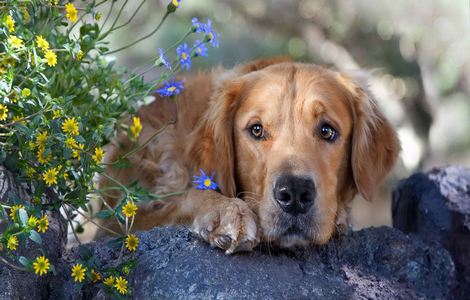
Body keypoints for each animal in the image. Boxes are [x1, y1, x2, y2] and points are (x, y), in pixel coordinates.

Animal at [96, 56, 400, 253]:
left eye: (327, 131)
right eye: (256, 129)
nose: (295, 194)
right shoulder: (117, 224)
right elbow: (187, 196)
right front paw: (226, 211)